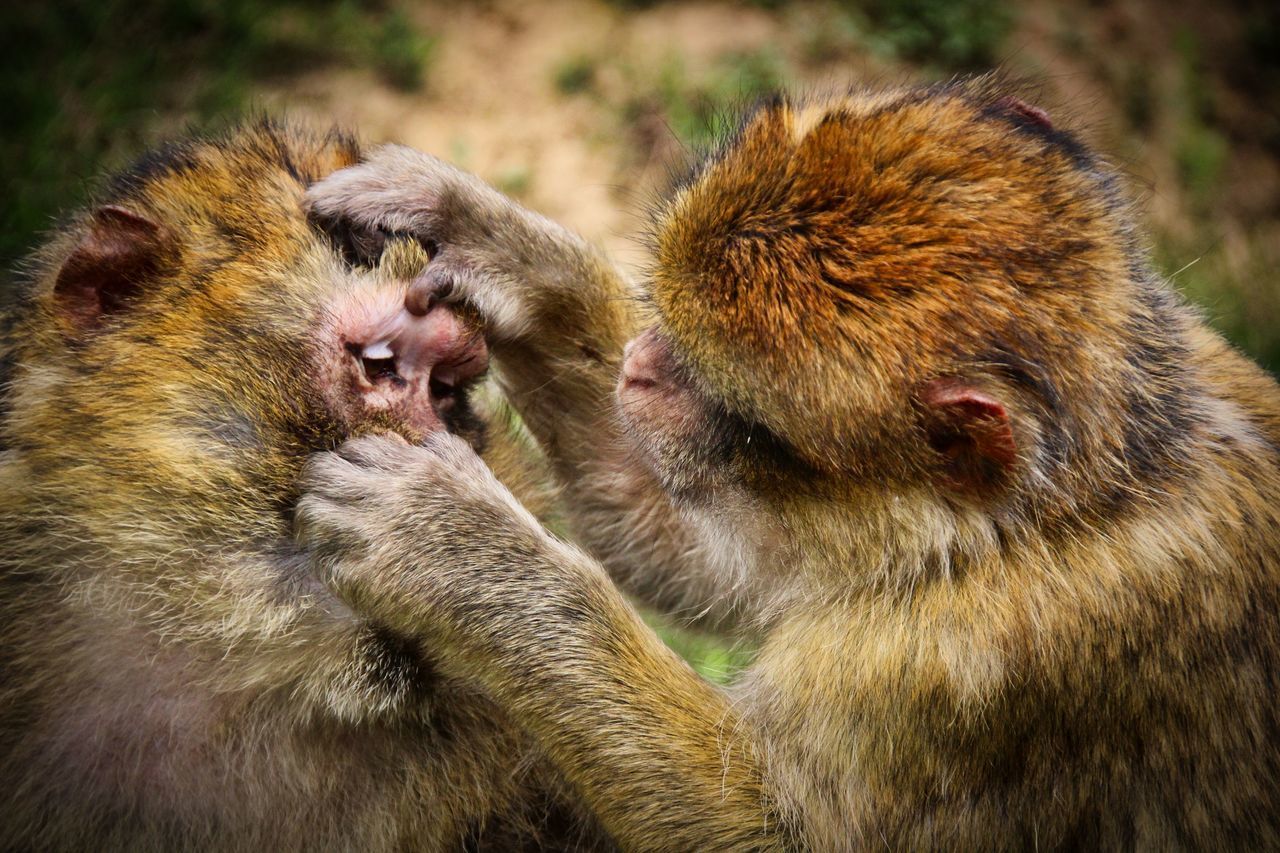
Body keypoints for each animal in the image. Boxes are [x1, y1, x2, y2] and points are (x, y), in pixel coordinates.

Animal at [299, 76, 1280, 845]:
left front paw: (453, 546)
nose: (641, 365)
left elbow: (766, 828)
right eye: (671, 326)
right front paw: (490, 240)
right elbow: (681, 544)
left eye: (720, 391)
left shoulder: (966, 666)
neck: (1063, 506)